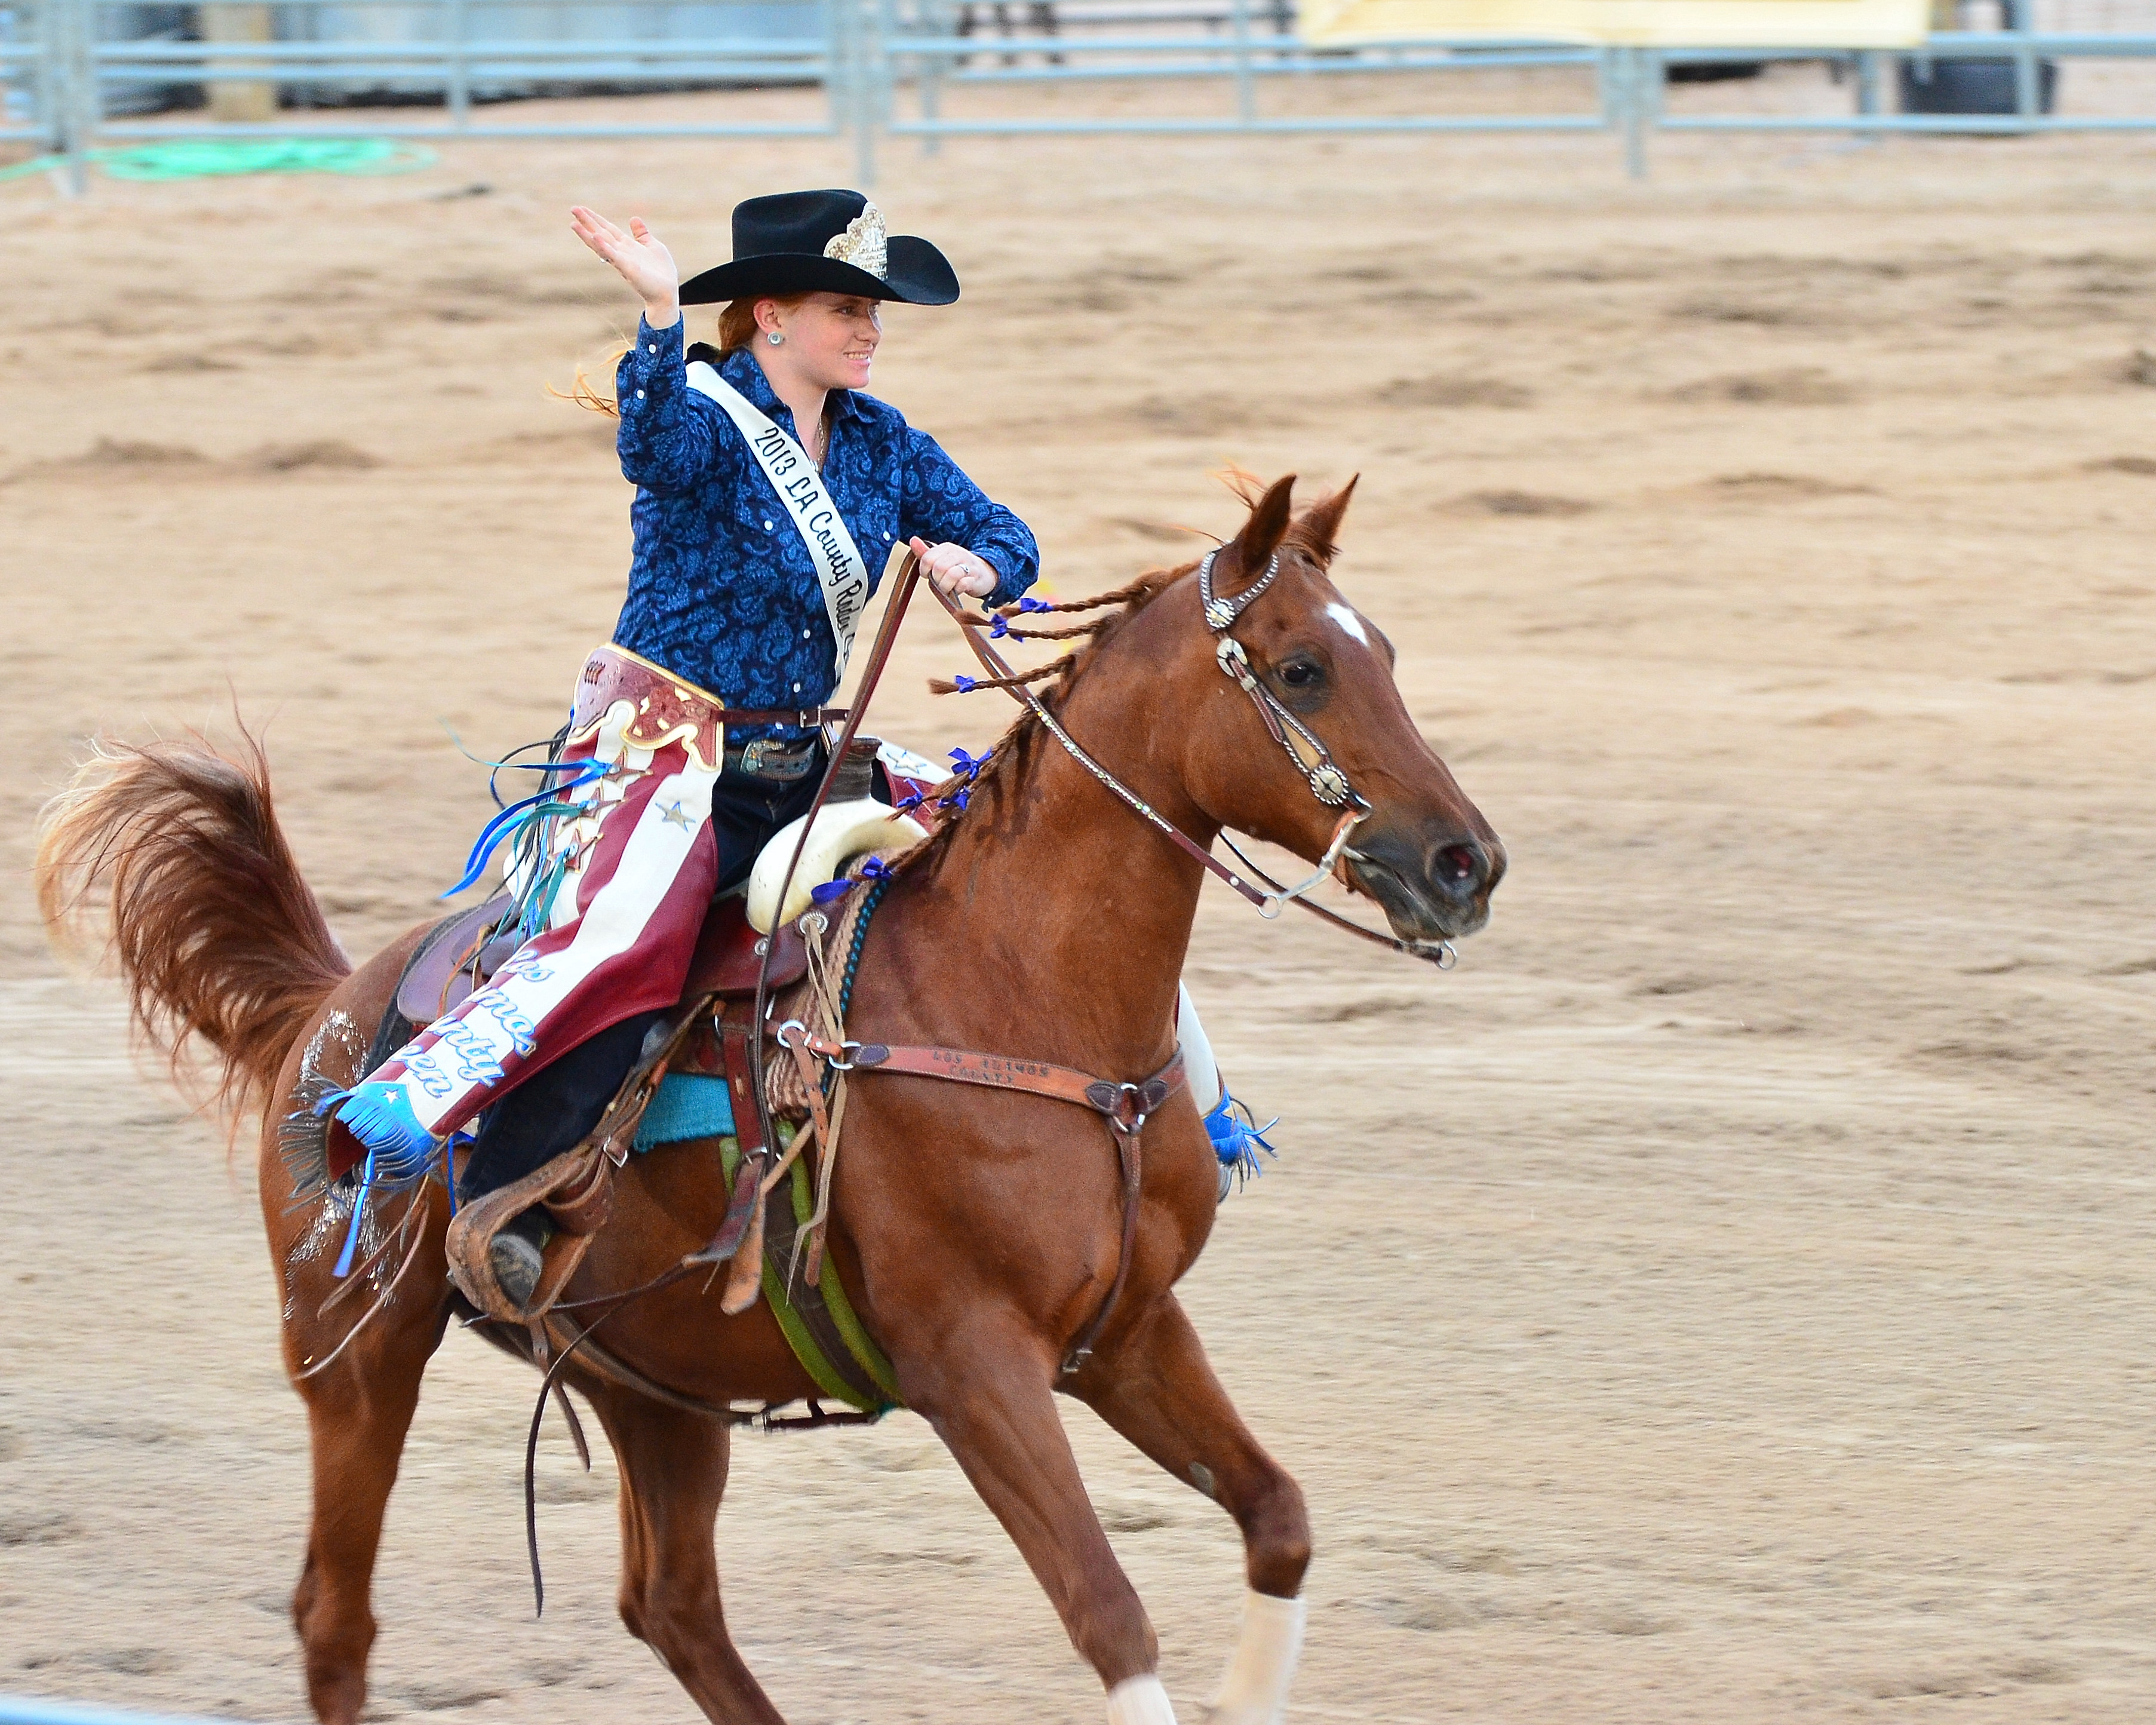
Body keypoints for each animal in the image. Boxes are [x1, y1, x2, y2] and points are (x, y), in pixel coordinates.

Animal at [42, 474, 1509, 1725]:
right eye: (1301, 666)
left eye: (1385, 651)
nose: (1465, 861)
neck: (1016, 990)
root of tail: (331, 1010)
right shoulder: (973, 1362)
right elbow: (1109, 1613)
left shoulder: (1128, 1333)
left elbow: (1279, 1521)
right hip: (356, 1362)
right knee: (336, 1623)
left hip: (650, 1383)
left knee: (672, 1606)